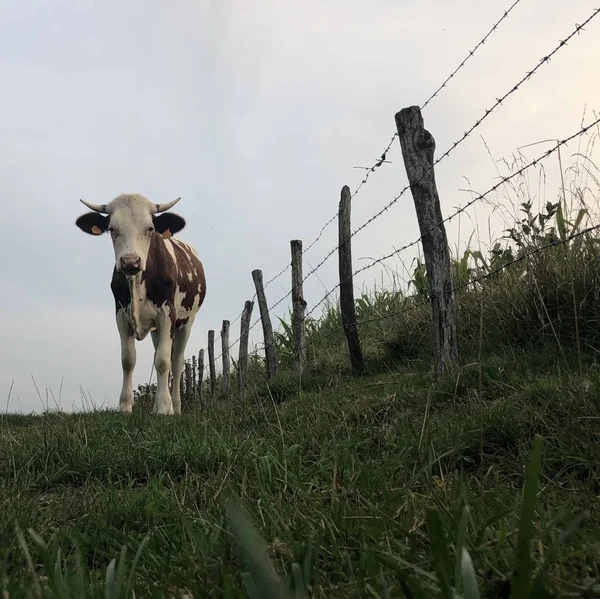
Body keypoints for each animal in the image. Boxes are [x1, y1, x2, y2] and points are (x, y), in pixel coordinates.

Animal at [74, 195, 206, 414]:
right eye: (112, 229)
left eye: (150, 228)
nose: (130, 261)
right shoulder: (121, 315)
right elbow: (128, 359)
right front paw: (126, 406)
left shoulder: (167, 315)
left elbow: (163, 361)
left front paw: (164, 408)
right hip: (156, 330)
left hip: (187, 322)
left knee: (177, 361)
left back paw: (175, 407)